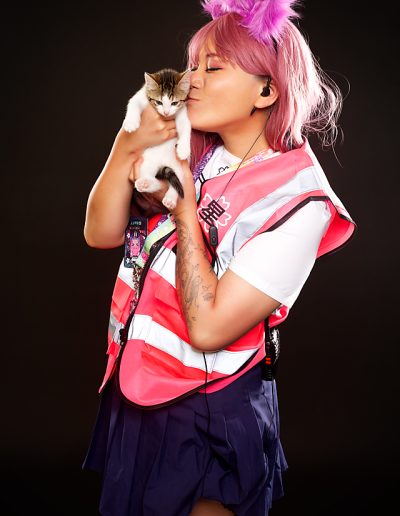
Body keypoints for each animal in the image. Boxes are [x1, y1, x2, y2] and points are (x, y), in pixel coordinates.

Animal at [122, 68, 192, 211]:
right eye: (159, 102)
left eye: (174, 103)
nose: (166, 112)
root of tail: (161, 163)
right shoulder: (141, 96)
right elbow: (133, 102)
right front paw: (131, 122)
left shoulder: (181, 110)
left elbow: (185, 126)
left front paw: (184, 149)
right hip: (146, 163)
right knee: (158, 182)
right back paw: (145, 183)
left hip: (180, 167)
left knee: (177, 178)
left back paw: (170, 198)